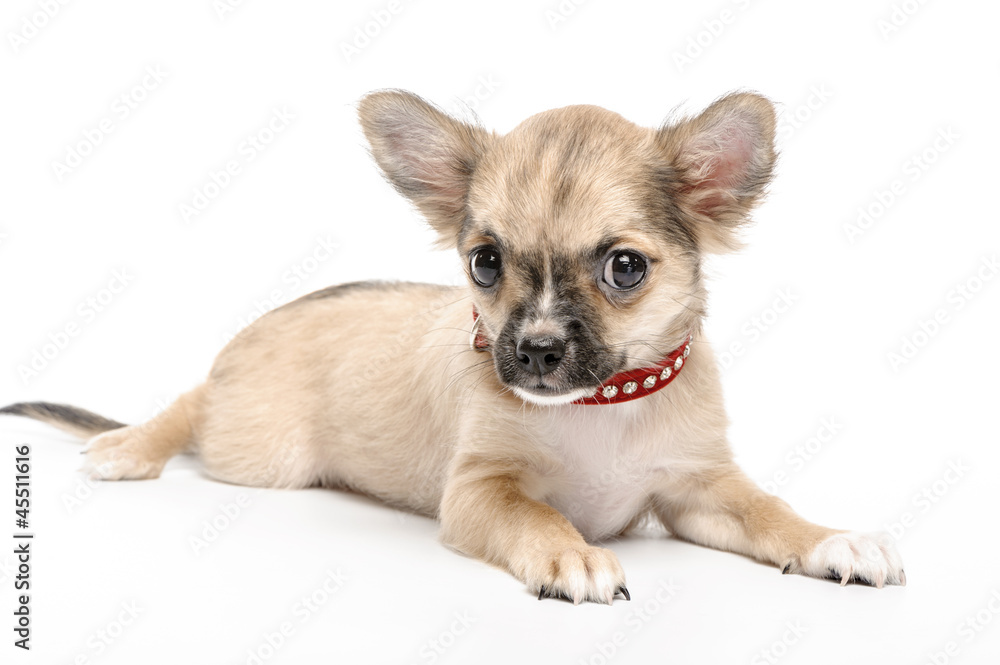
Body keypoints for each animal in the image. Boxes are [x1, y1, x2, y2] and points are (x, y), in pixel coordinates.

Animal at [1, 91, 908, 604]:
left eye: (624, 268)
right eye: (486, 262)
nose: (534, 350)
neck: (600, 409)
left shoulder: (697, 490)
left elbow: (771, 511)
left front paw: (832, 538)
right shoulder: (479, 492)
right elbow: (535, 511)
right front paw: (567, 552)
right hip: (256, 451)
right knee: (196, 401)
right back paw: (129, 445)